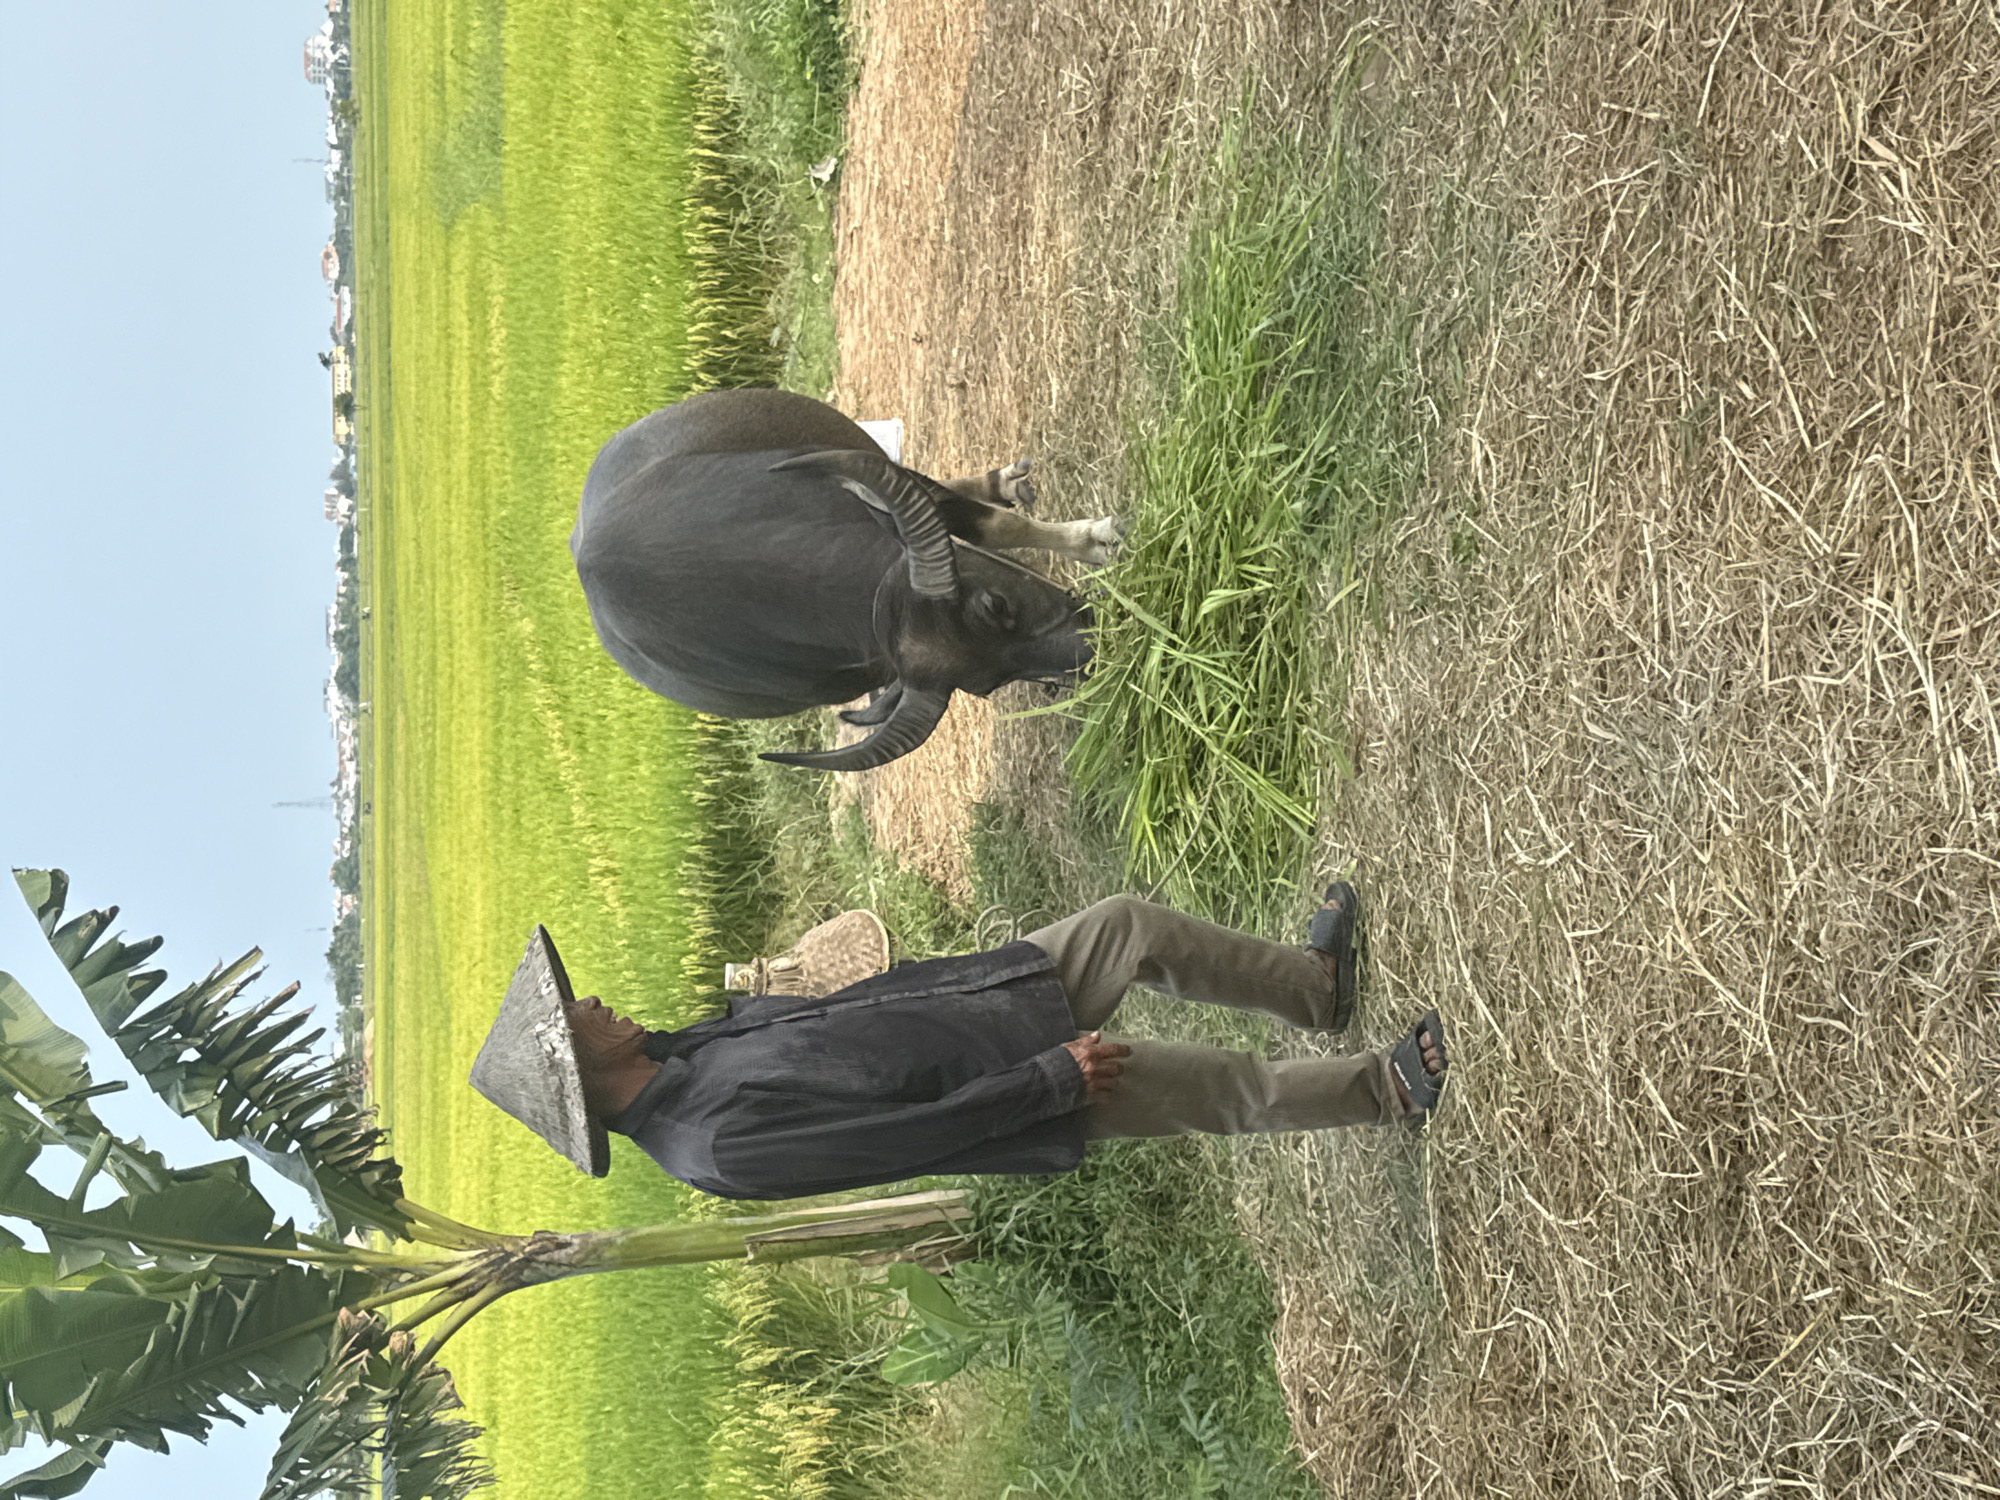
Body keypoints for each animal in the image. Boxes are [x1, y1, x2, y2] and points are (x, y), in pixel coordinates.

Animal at [571, 388, 1121, 771]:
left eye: (997, 605)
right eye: (989, 685)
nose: (1096, 648)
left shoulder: (903, 490)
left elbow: (990, 525)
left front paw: (1095, 539)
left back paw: (1004, 483)